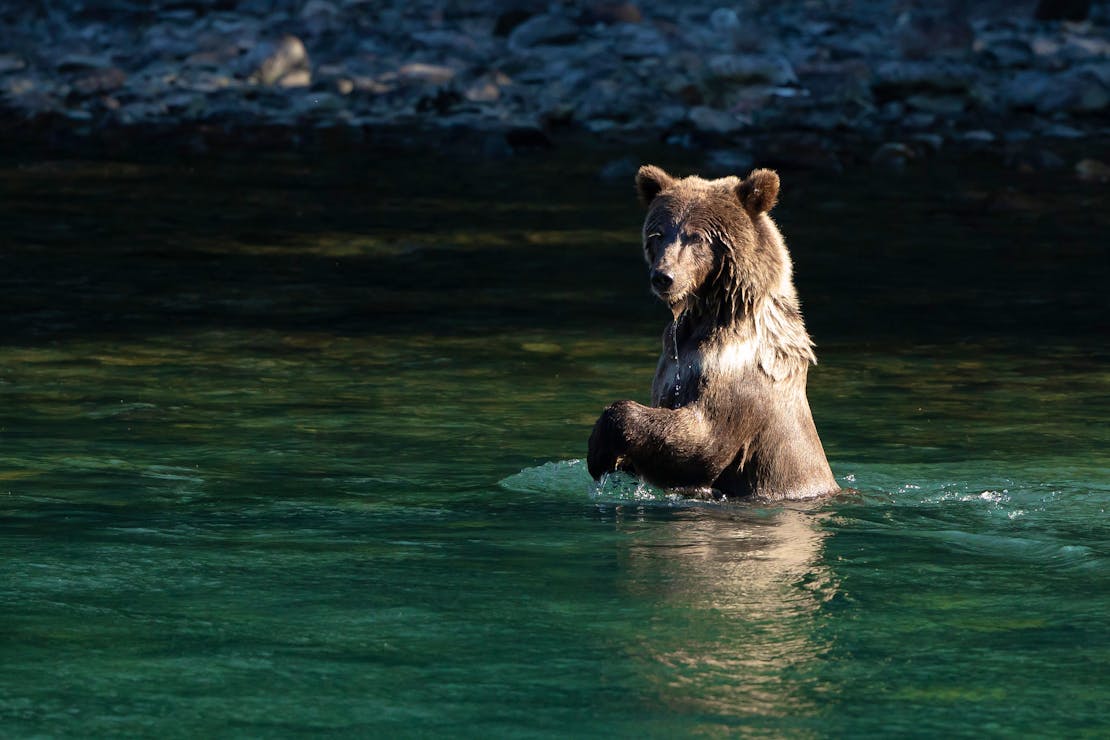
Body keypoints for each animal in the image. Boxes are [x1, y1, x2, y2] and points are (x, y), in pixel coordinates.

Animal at [586, 167, 834, 501]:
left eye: (697, 237)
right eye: (658, 234)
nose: (663, 277)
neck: (714, 313)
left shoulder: (740, 378)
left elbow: (702, 444)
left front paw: (600, 450)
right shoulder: (674, 362)